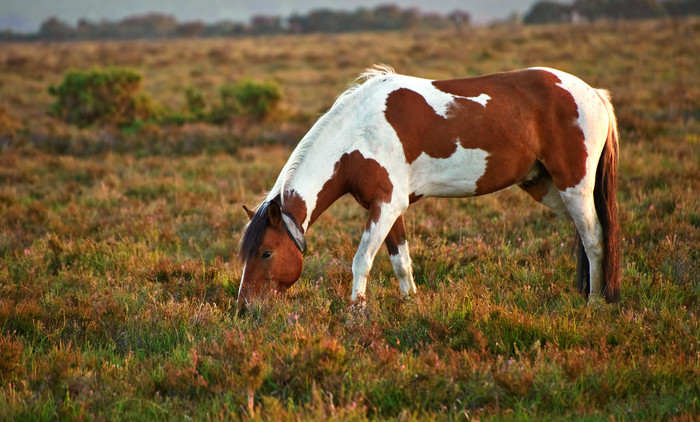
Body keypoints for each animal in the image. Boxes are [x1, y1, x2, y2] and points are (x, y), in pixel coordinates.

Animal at [238, 66, 620, 310]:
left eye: (266, 253)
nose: (245, 308)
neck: (360, 134)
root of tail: (595, 94)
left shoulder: (386, 206)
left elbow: (361, 261)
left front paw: (356, 313)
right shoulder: (390, 209)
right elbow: (401, 262)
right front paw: (412, 305)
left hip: (574, 186)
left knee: (594, 239)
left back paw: (595, 302)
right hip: (545, 187)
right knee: (583, 237)